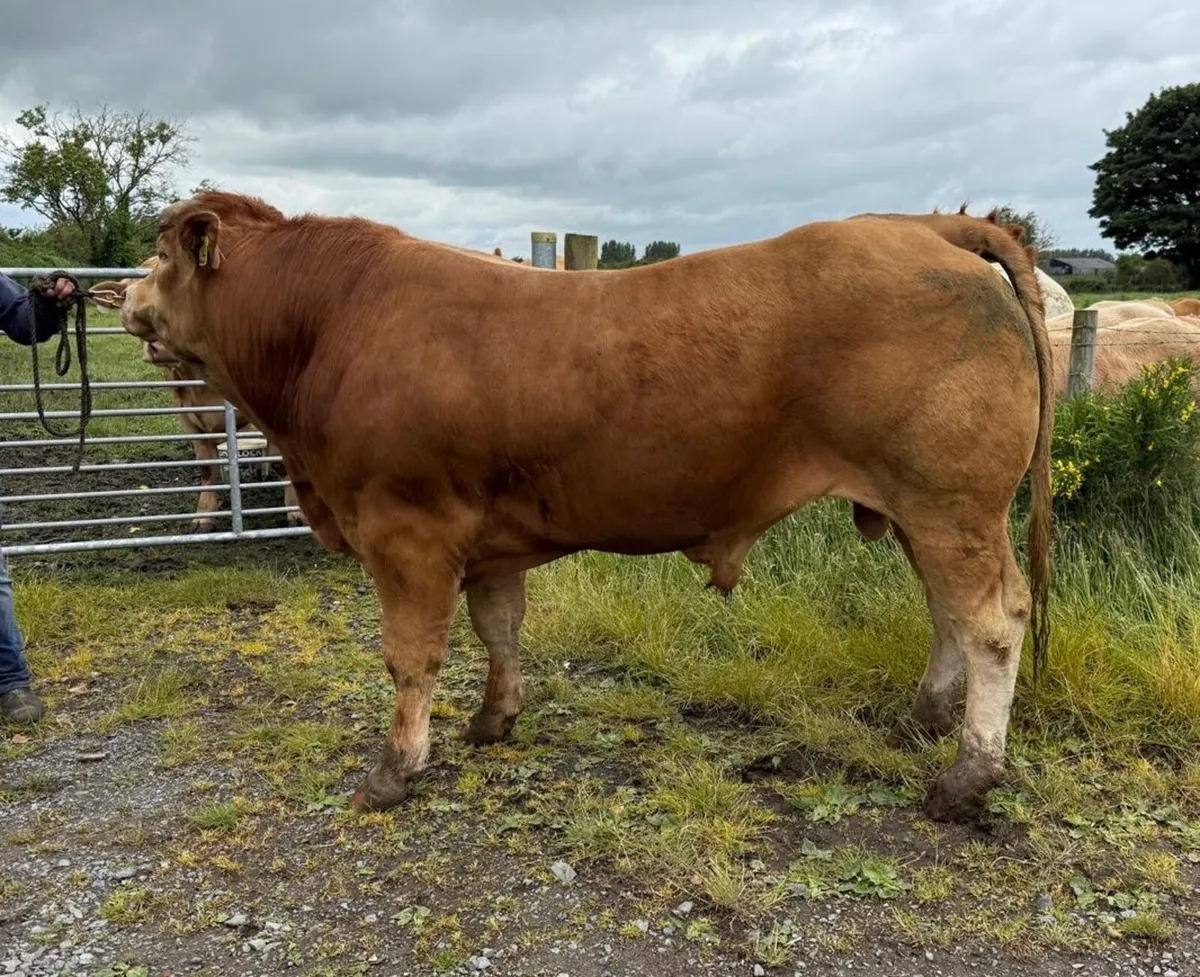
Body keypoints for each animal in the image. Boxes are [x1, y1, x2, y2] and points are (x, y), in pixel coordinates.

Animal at [120, 191, 1053, 825]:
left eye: (160, 253)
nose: (121, 298)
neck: (329, 326)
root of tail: (920, 226)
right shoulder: (486, 541)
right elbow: (499, 628)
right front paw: (493, 720)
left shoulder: (404, 532)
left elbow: (411, 656)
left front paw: (393, 770)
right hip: (922, 510)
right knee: (945, 611)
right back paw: (924, 716)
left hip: (952, 503)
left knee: (992, 621)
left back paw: (966, 776)